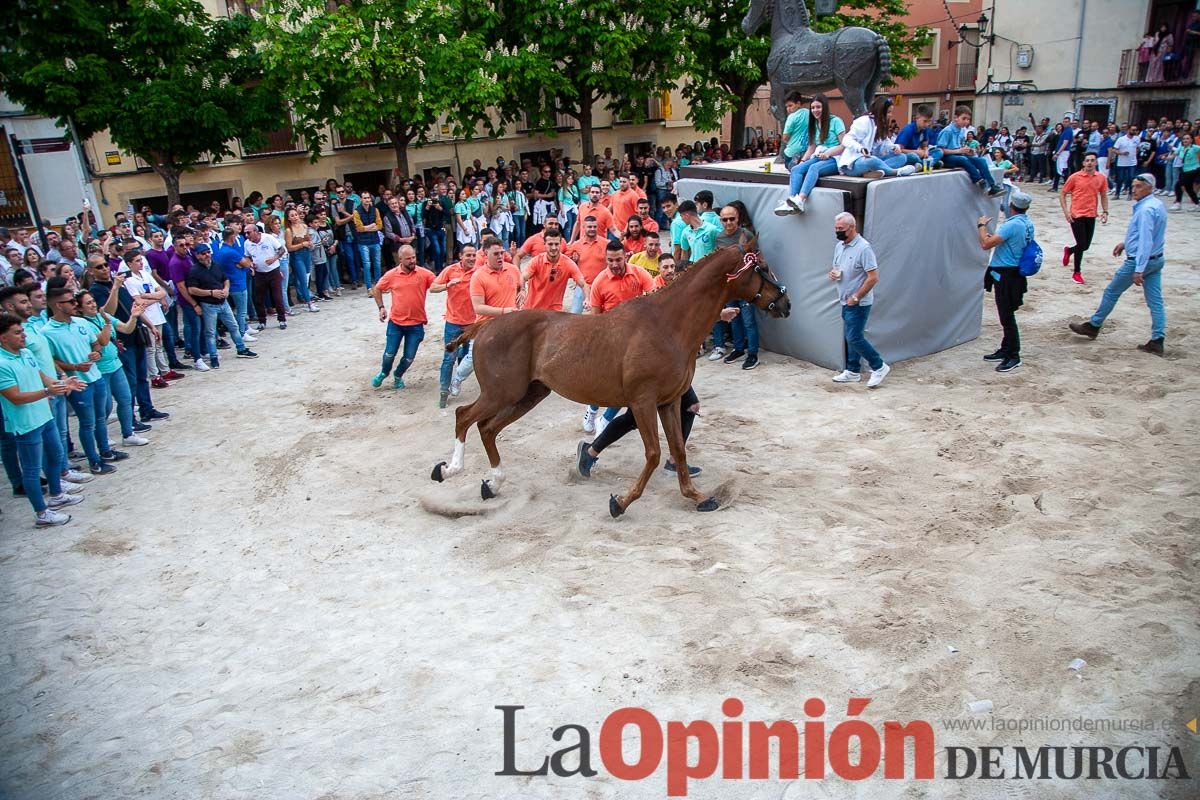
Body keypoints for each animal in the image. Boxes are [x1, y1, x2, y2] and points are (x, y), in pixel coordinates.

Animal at [429, 247, 787, 515]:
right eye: (762, 268)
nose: (786, 303)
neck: (666, 325)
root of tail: (486, 326)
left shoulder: (669, 402)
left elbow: (678, 450)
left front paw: (699, 497)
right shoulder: (643, 402)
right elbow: (654, 453)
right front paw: (622, 502)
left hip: (529, 394)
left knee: (487, 428)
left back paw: (493, 483)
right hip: (502, 392)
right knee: (464, 417)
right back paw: (449, 470)